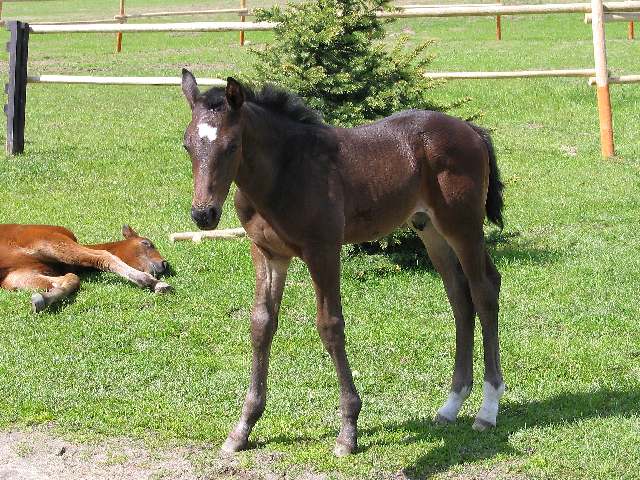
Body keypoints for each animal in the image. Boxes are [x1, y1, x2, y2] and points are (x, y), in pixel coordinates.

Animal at [0, 224, 170, 314]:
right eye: (146, 243)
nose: (165, 264)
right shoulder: (49, 239)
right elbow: (104, 256)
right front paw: (153, 282)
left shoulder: (17, 275)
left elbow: (72, 279)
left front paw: (44, 298)